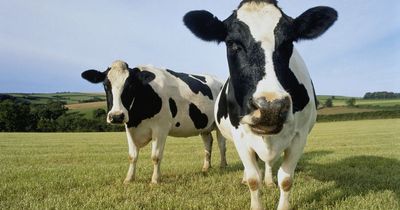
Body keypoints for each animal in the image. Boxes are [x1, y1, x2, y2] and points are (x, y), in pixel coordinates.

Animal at [80, 60, 228, 184]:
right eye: (106, 85)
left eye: (130, 85)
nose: (116, 116)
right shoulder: (129, 128)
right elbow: (132, 156)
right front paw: (129, 179)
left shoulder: (161, 128)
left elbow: (155, 156)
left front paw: (155, 180)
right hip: (204, 125)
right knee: (208, 143)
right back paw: (206, 167)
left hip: (219, 125)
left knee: (221, 145)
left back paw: (223, 166)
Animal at [184, 0, 338, 209]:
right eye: (232, 43)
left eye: (288, 42)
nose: (270, 107)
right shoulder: (240, 134)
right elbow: (253, 179)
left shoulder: (300, 135)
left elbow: (286, 179)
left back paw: (269, 180)